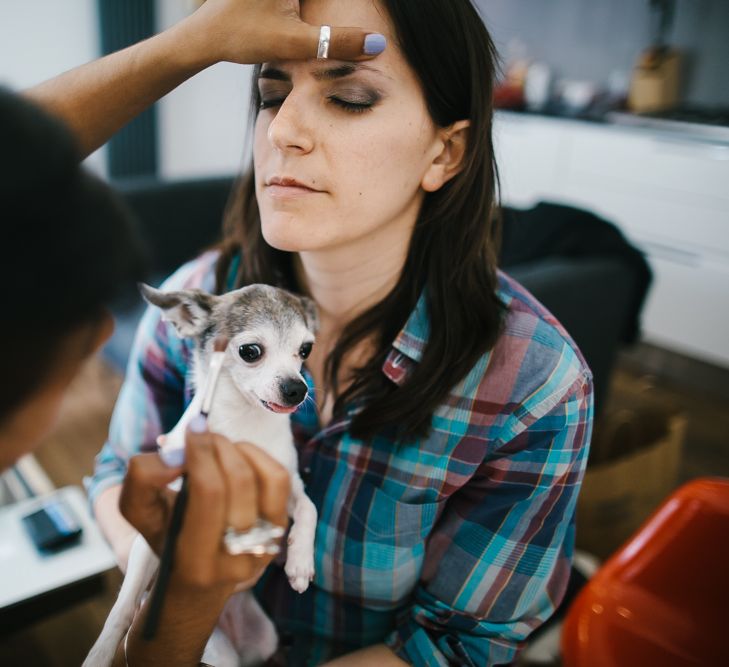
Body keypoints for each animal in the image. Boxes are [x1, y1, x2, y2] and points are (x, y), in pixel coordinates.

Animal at [84, 284, 318, 667]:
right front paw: (100, 653)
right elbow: (123, 605)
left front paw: (300, 561)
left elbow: (309, 509)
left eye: (305, 349)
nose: (297, 388)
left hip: (262, 638)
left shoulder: (289, 485)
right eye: (250, 352)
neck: (243, 423)